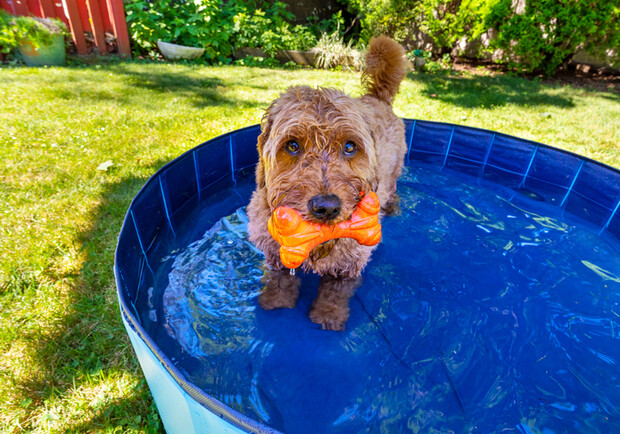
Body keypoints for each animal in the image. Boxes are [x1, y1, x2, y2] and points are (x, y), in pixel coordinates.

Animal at [247, 37, 412, 330]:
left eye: (349, 146)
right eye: (292, 145)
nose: (326, 207)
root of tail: (376, 97)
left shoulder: (350, 261)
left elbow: (336, 292)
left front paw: (328, 315)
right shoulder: (275, 252)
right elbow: (280, 279)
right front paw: (276, 302)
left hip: (394, 174)